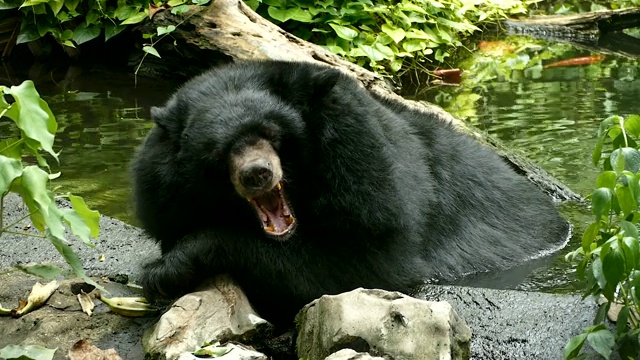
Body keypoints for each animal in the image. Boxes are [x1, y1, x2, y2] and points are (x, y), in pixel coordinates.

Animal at [134, 60, 568, 328]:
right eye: (220, 151)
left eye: (272, 133)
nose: (258, 173)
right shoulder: (163, 194)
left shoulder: (369, 177)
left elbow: (367, 268)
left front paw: (163, 270)